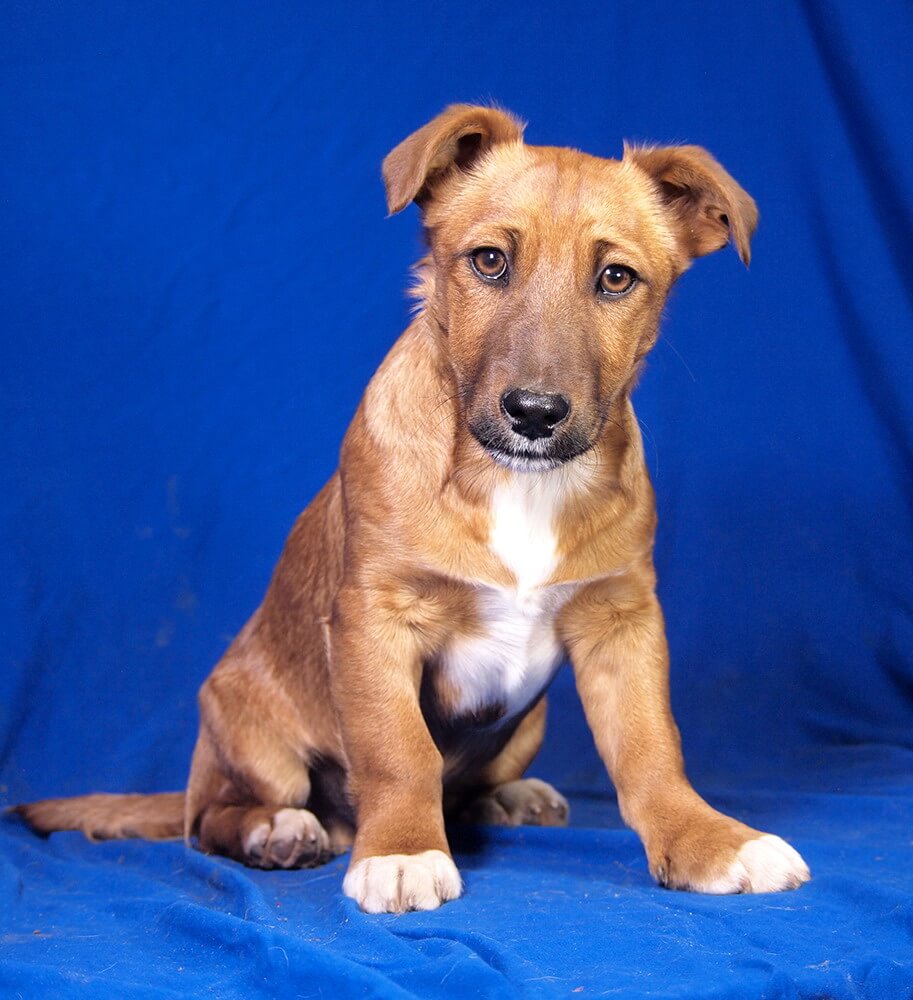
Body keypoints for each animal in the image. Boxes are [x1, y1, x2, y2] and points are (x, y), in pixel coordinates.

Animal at [15, 105, 810, 913]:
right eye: (488, 262)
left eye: (616, 278)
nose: (534, 413)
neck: (517, 481)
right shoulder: (375, 617)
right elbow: (398, 750)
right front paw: (402, 850)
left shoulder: (623, 619)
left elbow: (651, 749)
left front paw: (706, 839)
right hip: (243, 724)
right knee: (210, 818)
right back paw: (279, 829)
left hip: (529, 720)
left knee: (466, 788)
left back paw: (507, 797)